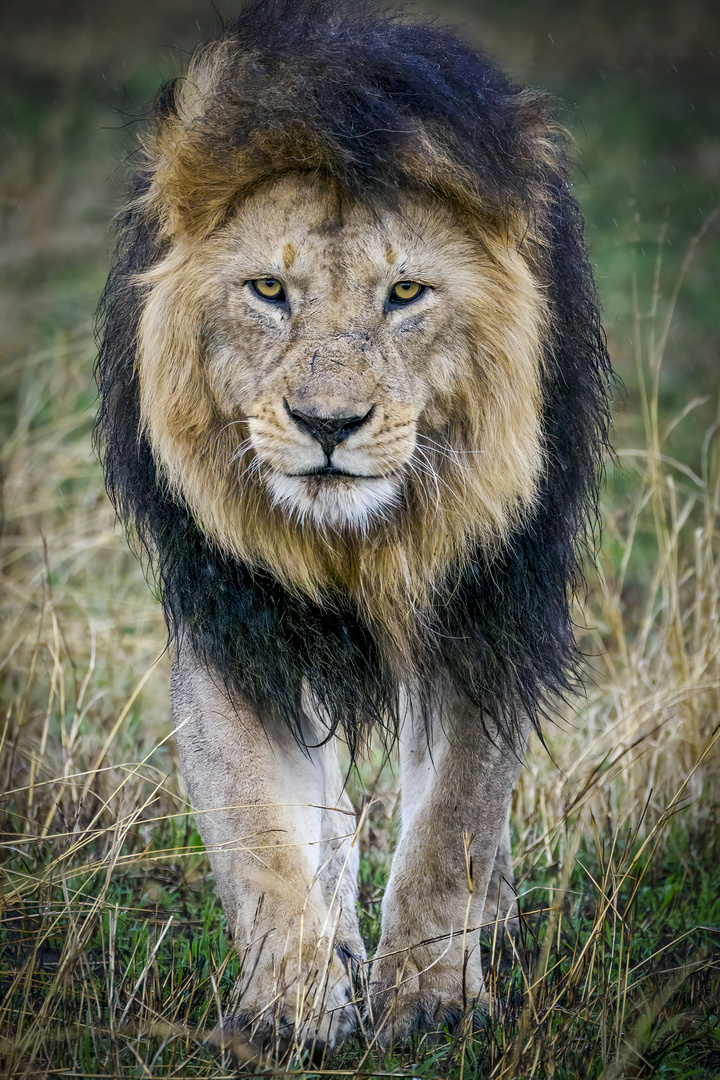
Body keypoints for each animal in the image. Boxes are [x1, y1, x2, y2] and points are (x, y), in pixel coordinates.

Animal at [94, 0, 613, 1054]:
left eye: (405, 293)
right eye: (268, 290)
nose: (327, 425)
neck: (351, 543)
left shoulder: (482, 614)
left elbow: (454, 822)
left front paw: (430, 1001)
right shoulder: (235, 618)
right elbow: (260, 829)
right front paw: (289, 1007)